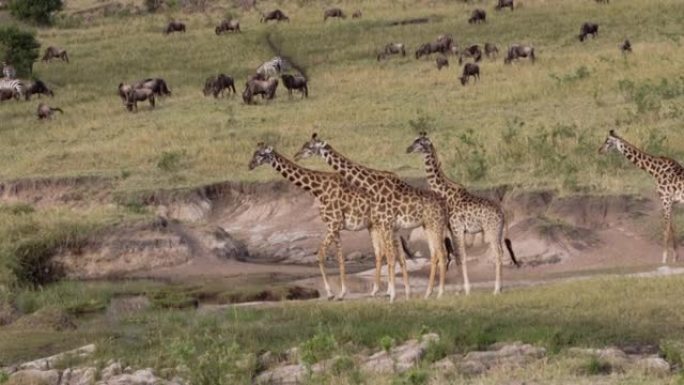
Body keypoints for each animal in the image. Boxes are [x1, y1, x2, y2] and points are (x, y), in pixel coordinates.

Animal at [250, 142, 412, 298]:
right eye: (254, 153)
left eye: (261, 154)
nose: (250, 165)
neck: (318, 189)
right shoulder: (336, 227)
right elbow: (340, 258)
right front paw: (342, 293)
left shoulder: (333, 225)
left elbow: (320, 255)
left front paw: (330, 293)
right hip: (377, 226)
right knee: (387, 253)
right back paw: (387, 291)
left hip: (382, 225)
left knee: (388, 253)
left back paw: (388, 291)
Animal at [296, 134, 452, 302]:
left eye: (310, 147)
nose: (296, 155)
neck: (374, 185)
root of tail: (444, 205)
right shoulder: (387, 225)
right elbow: (393, 257)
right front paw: (398, 294)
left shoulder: (385, 223)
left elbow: (390, 257)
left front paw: (392, 296)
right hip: (428, 226)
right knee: (434, 254)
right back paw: (428, 293)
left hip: (434, 225)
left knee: (441, 254)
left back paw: (439, 293)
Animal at [406, 132, 520, 294]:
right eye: (414, 140)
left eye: (420, 142)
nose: (408, 149)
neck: (445, 193)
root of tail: (503, 213)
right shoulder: (453, 229)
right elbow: (457, 256)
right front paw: (460, 289)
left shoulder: (457, 228)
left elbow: (460, 257)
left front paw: (466, 289)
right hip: (498, 232)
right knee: (502, 252)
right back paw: (501, 287)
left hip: (491, 230)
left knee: (498, 253)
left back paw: (496, 289)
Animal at [600, 130, 684, 262]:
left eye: (608, 141)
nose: (600, 150)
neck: (655, 170)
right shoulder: (672, 202)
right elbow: (672, 228)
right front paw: (675, 257)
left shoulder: (665, 200)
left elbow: (666, 229)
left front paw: (664, 259)